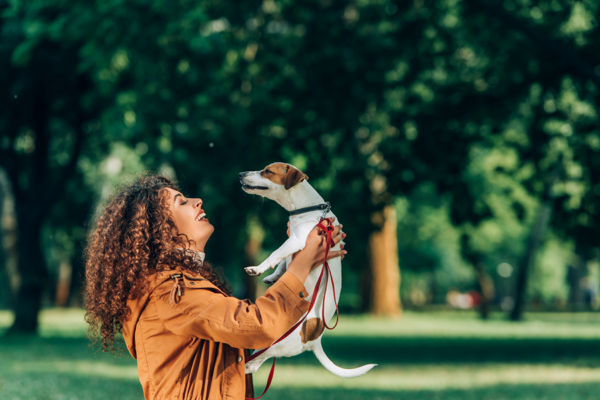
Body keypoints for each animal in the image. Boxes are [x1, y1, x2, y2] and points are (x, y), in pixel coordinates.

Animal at [239, 162, 376, 378]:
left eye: (267, 171)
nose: (240, 173)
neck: (306, 208)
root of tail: (314, 341)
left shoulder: (296, 240)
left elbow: (275, 254)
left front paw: (258, 268)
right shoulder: (292, 242)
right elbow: (283, 262)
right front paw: (273, 276)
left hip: (273, 340)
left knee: (255, 361)